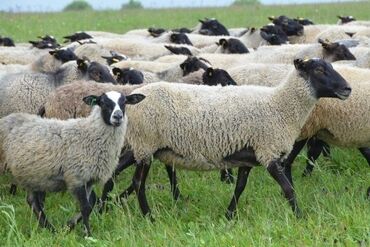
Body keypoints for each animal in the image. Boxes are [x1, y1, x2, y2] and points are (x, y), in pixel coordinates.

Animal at [0, 90, 146, 235]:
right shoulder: (77, 177)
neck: (90, 133)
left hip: (33, 175)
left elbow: (91, 203)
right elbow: (85, 207)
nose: (118, 116)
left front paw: (71, 226)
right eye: (103, 102)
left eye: (124, 102)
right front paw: (87, 234)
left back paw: (50, 229)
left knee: (32, 201)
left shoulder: (88, 179)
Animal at [121, 57, 350, 218]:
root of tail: (131, 99)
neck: (280, 105)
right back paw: (148, 216)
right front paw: (300, 217)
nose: (348, 88)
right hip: (145, 145)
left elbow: (239, 188)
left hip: (138, 146)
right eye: (319, 70)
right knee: (138, 182)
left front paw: (229, 215)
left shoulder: (247, 156)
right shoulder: (268, 153)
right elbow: (288, 189)